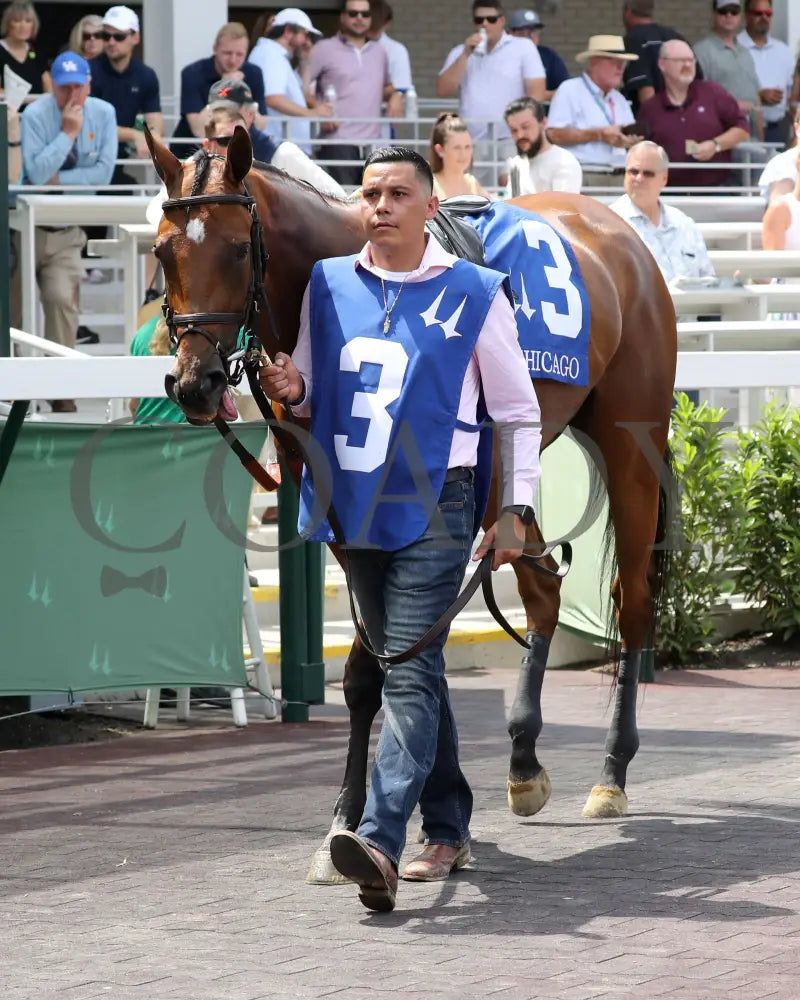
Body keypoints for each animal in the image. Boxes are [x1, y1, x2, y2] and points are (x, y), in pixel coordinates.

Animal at [144, 127, 676, 884]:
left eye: (238, 249)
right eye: (164, 251)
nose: (196, 383)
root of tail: (617, 231)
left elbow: (389, 660)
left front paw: (372, 823)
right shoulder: (343, 511)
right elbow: (389, 662)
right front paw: (375, 823)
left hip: (632, 445)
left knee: (632, 603)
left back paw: (611, 774)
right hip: (514, 484)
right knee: (544, 589)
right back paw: (522, 762)